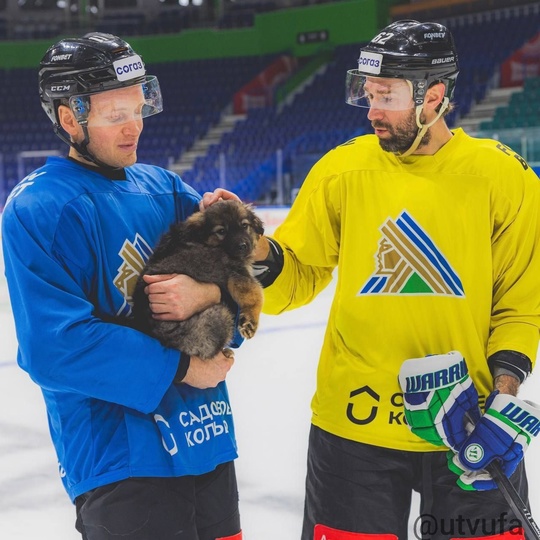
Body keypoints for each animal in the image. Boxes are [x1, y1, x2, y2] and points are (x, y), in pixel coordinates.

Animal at [131, 198, 266, 358]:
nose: (243, 246)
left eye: (244, 225)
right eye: (221, 231)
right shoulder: (234, 272)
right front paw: (251, 322)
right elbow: (255, 296)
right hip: (219, 316)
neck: (202, 239)